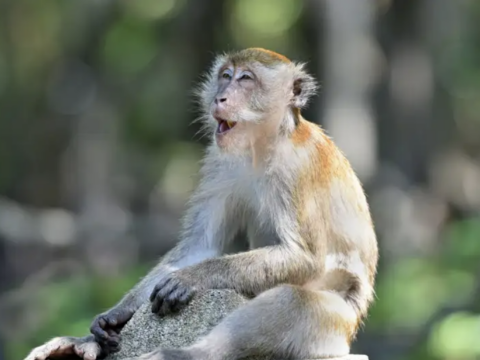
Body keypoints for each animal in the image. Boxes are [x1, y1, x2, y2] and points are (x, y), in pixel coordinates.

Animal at [25, 47, 378, 360]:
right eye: (225, 76)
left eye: (246, 79)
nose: (219, 97)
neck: (262, 147)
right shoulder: (219, 161)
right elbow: (200, 245)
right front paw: (117, 314)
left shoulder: (297, 169)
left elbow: (304, 257)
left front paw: (192, 277)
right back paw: (85, 345)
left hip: (335, 328)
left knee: (294, 301)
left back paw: (183, 354)